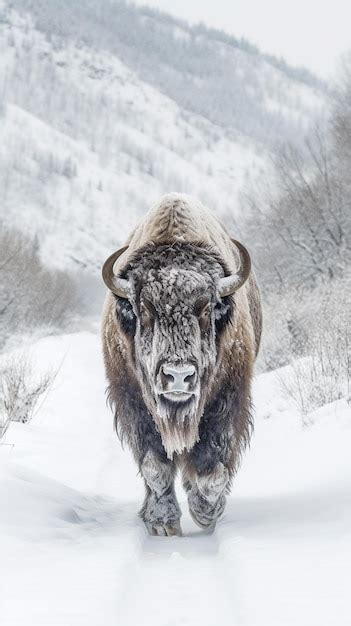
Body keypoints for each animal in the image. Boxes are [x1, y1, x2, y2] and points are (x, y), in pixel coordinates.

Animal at [101, 193, 262, 532]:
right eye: (145, 309)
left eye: (206, 308)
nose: (178, 377)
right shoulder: (133, 402)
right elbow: (155, 465)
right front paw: (163, 523)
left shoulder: (228, 397)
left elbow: (214, 467)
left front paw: (206, 513)